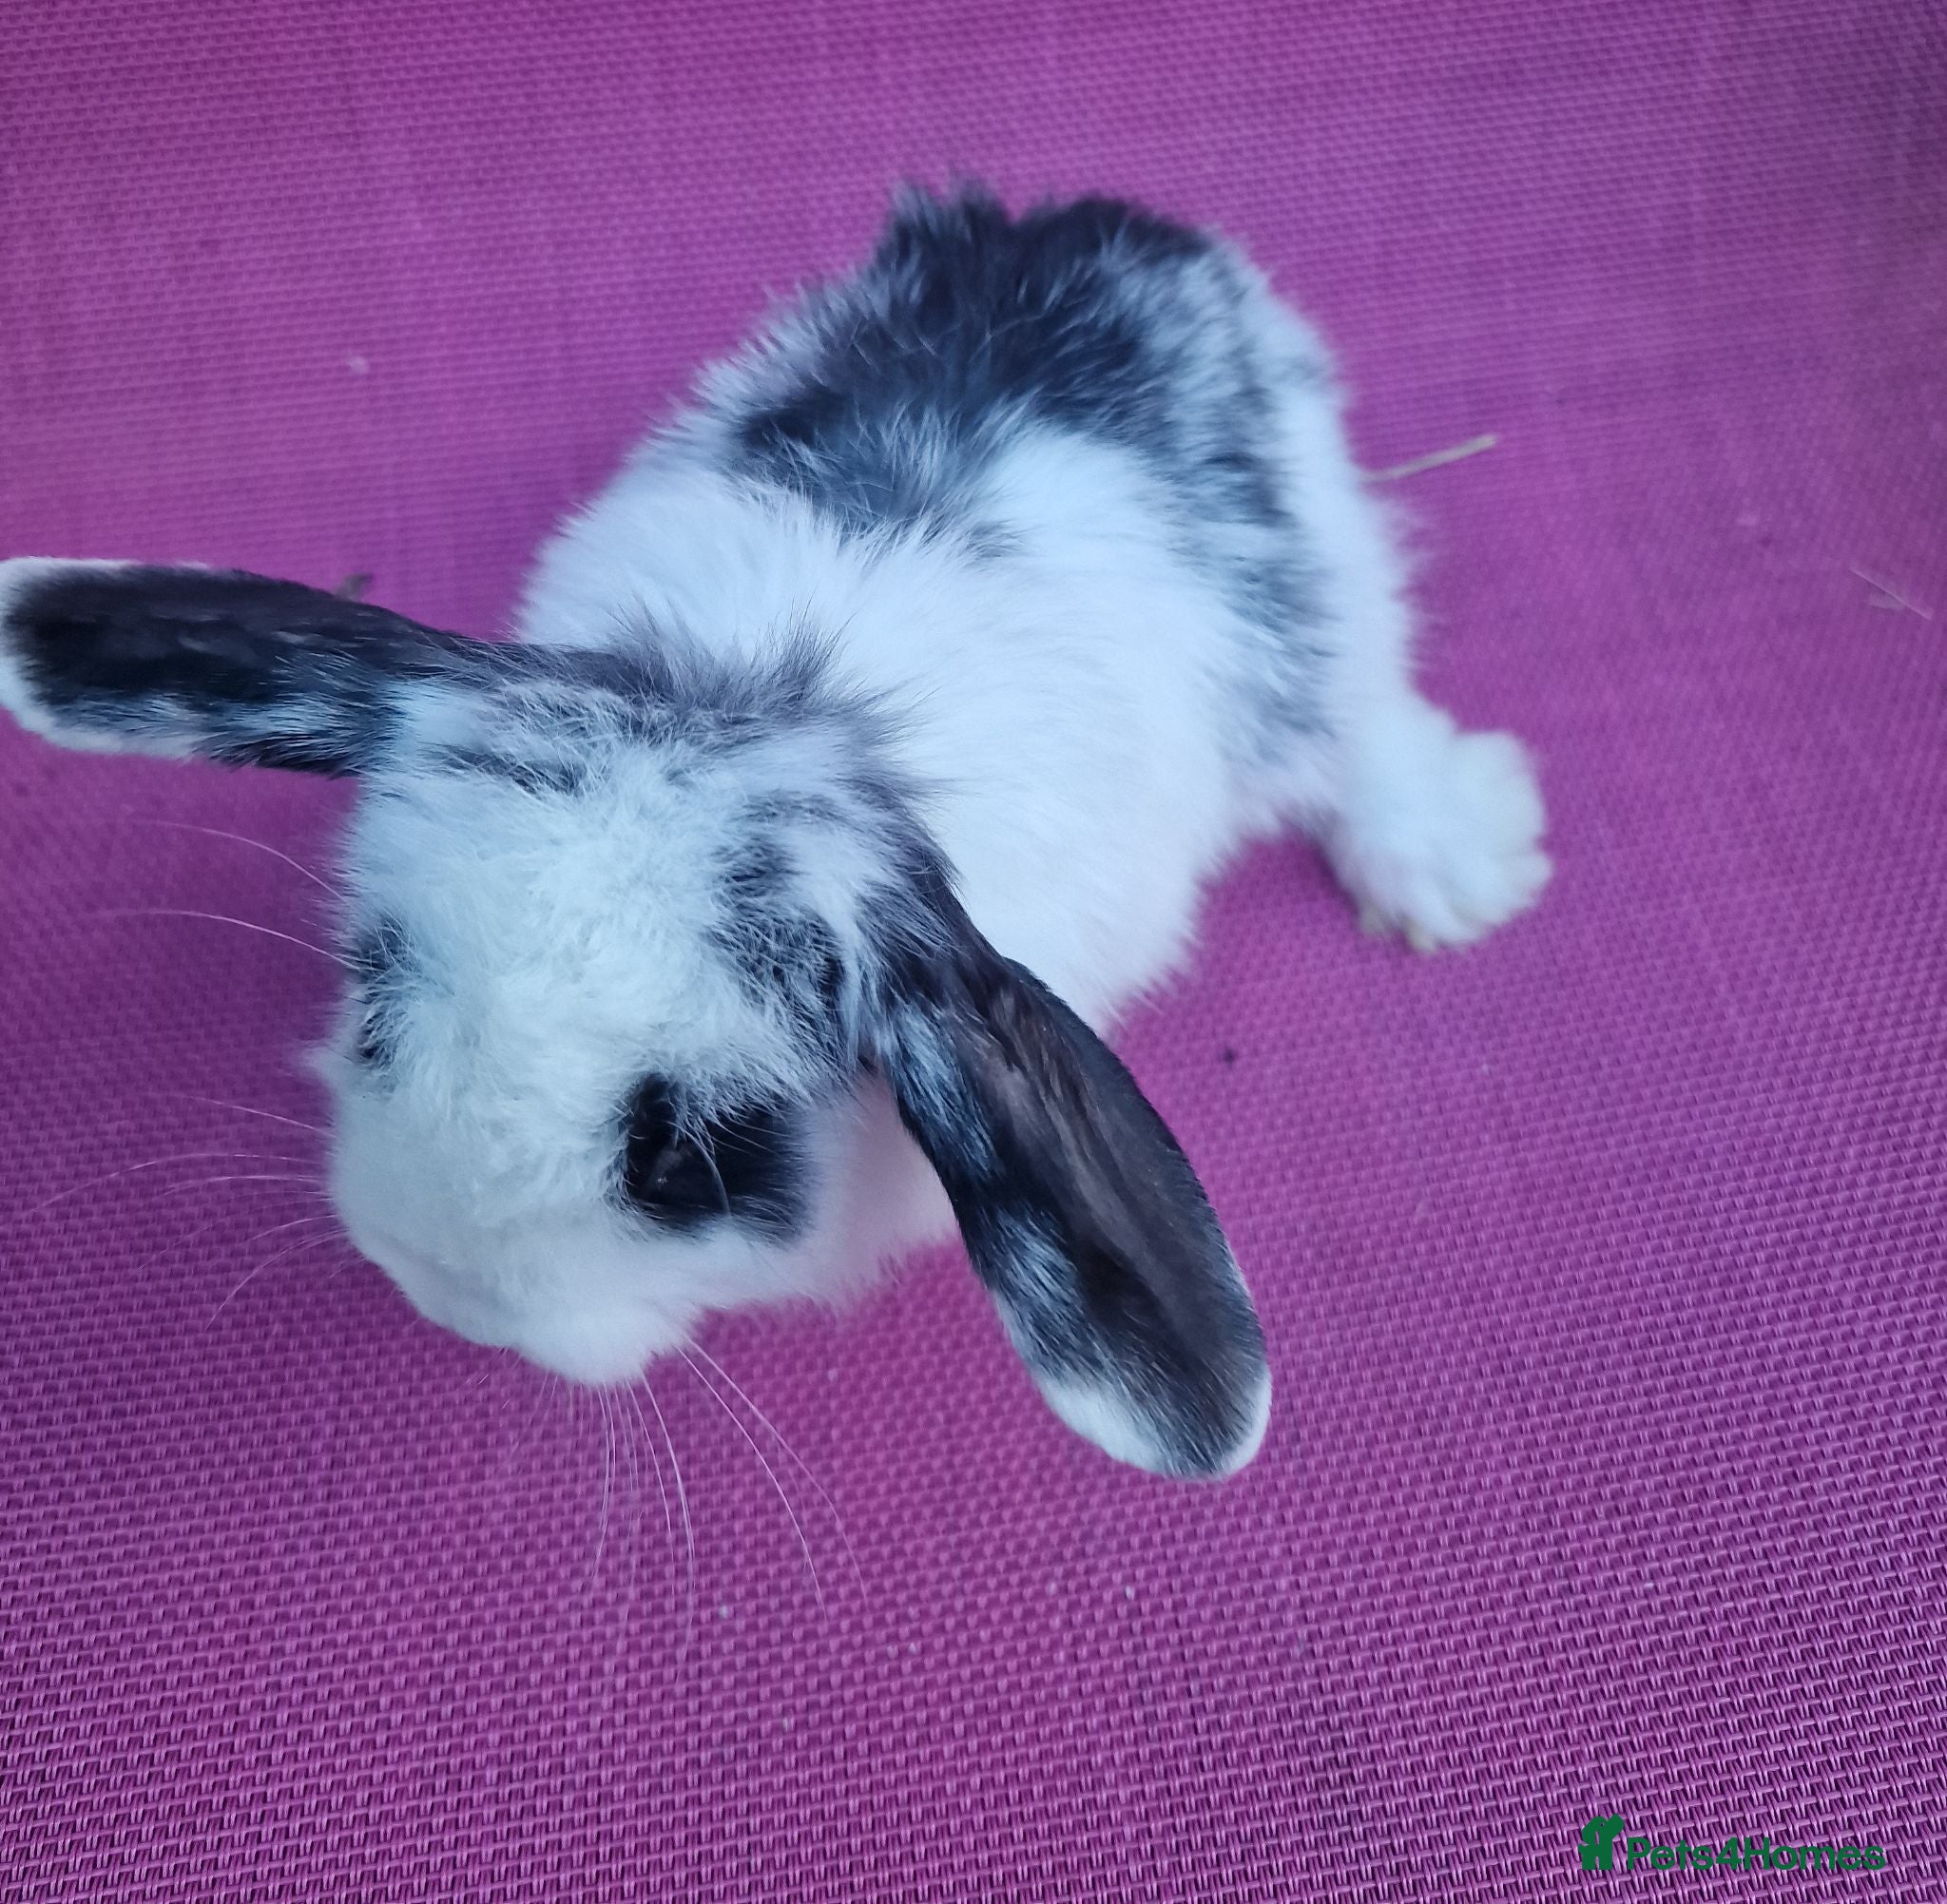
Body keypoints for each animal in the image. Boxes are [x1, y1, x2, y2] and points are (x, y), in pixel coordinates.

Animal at [0, 188, 1548, 1480]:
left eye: (688, 1157)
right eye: (375, 1012)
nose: (449, 1292)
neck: (781, 705)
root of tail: (1122, 230)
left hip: (1323, 576)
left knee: (1361, 714)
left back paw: (1456, 865)